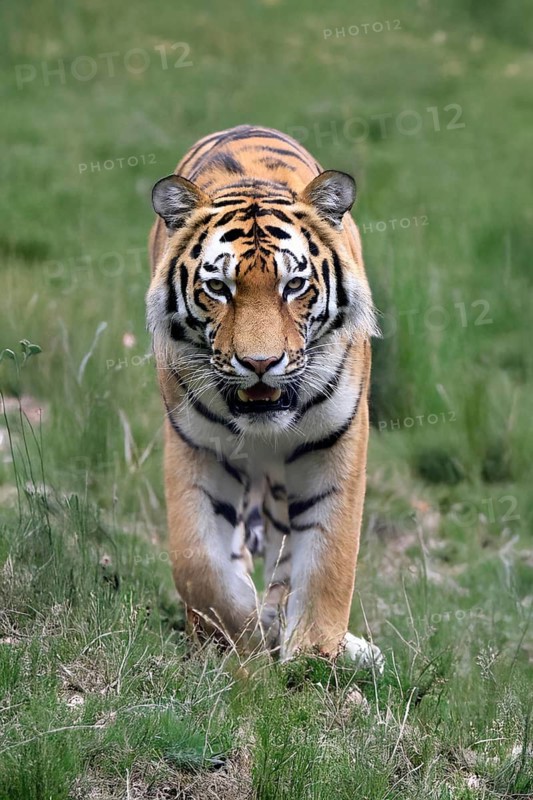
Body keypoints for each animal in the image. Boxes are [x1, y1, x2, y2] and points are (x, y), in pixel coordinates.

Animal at [147, 124, 383, 669]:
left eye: (294, 285)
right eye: (218, 287)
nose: (259, 363)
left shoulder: (336, 442)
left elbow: (327, 557)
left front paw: (314, 654)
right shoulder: (197, 446)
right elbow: (200, 565)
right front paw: (236, 644)